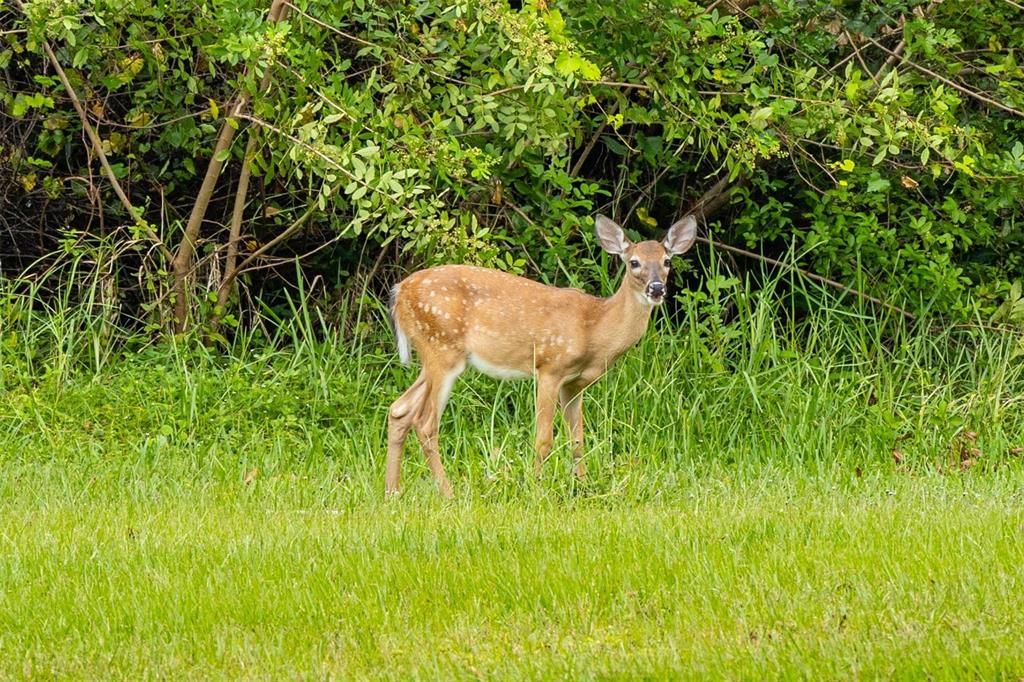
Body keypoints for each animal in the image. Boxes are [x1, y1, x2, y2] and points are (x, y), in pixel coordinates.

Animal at [385, 215, 696, 497]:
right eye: (634, 263)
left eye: (667, 261)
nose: (657, 288)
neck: (594, 328)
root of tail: (399, 292)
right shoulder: (550, 367)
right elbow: (543, 438)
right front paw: (535, 487)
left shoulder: (574, 384)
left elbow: (577, 439)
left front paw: (584, 487)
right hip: (442, 348)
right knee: (425, 423)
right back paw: (448, 494)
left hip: (432, 355)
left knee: (400, 410)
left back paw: (392, 493)